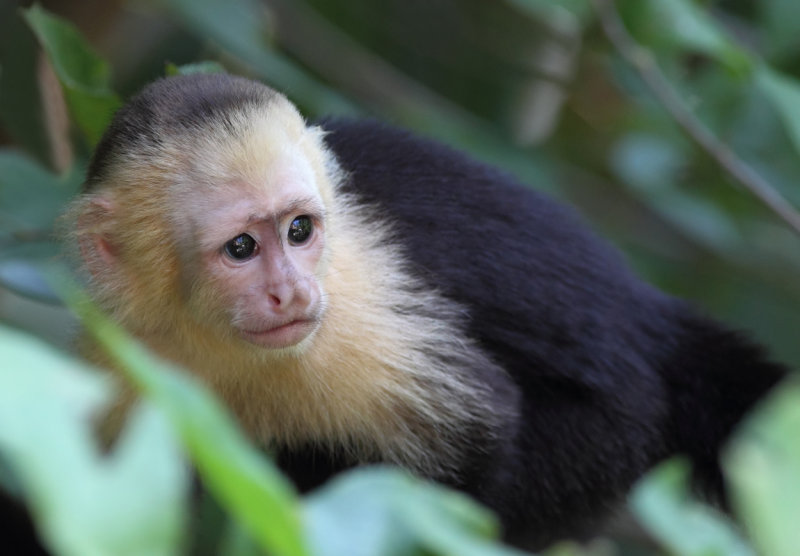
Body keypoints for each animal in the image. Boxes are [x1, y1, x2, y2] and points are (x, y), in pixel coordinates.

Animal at [62, 73, 788, 548]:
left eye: (299, 231)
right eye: (241, 248)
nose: (291, 293)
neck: (217, 341)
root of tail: (651, 320)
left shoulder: (352, 324)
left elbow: (477, 431)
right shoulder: (123, 352)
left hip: (604, 436)